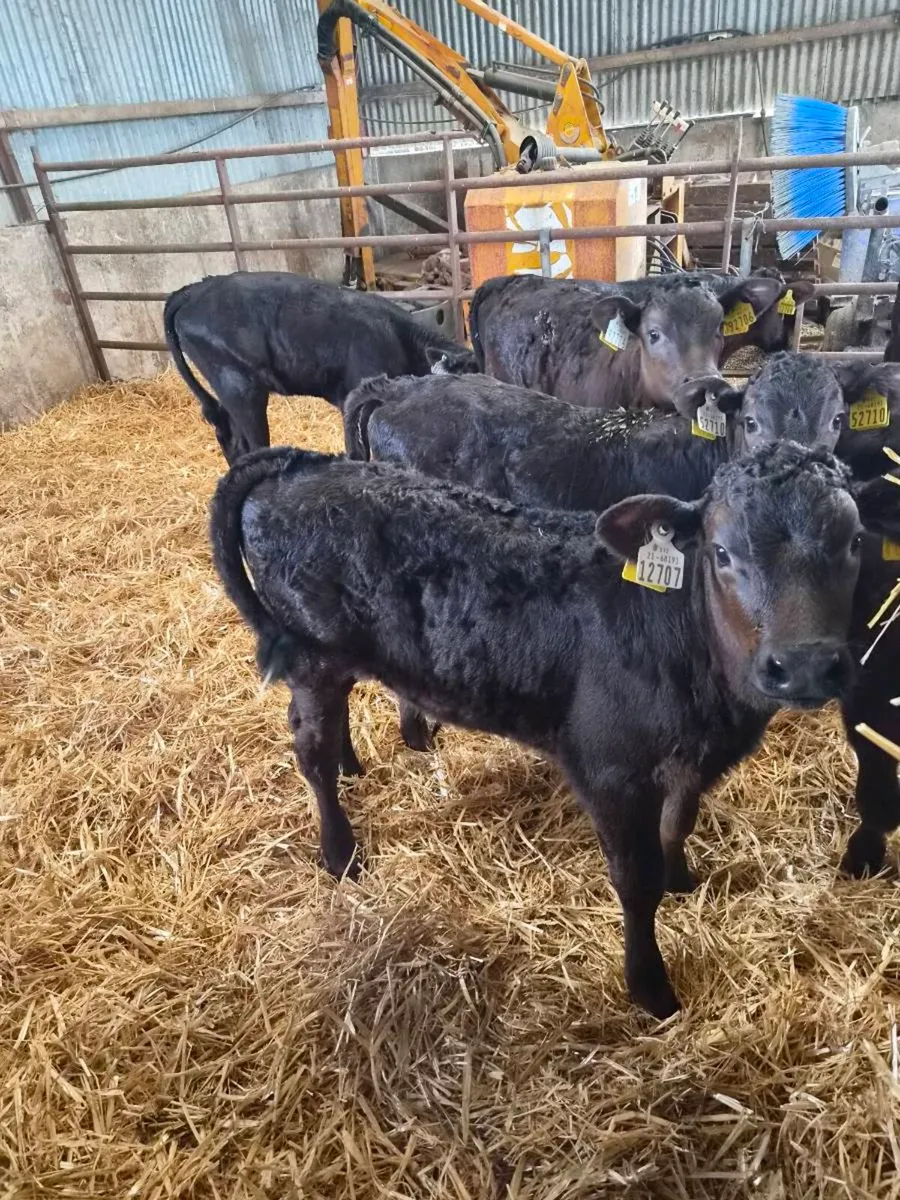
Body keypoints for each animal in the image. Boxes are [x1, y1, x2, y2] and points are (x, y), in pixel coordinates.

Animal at [163, 271, 477, 464]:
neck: (396, 337)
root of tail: (195, 289)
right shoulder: (357, 398)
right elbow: (358, 448)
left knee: (228, 435)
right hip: (240, 389)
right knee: (251, 444)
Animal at [210, 443, 900, 1018]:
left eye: (854, 543)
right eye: (723, 552)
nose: (805, 664)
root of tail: (305, 463)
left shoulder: (688, 757)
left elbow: (678, 822)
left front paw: (682, 879)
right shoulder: (610, 770)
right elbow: (636, 879)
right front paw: (650, 987)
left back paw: (353, 766)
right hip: (310, 657)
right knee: (310, 751)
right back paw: (341, 851)